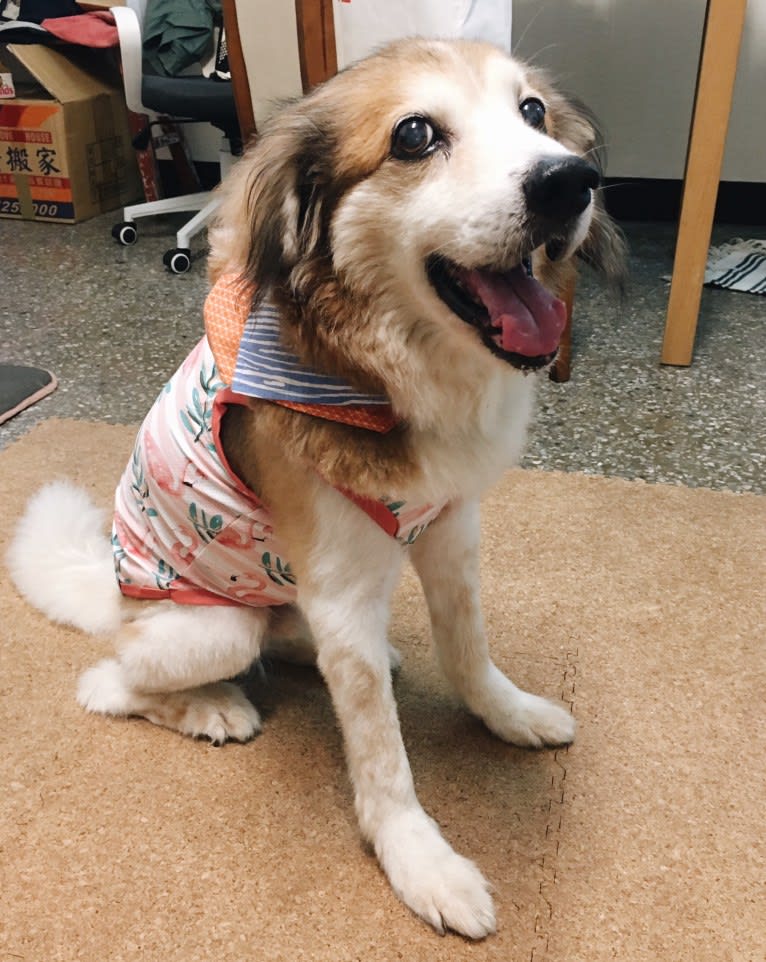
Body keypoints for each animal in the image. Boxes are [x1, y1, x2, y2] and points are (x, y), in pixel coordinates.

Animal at [9, 41, 628, 932]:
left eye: (533, 112)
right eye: (414, 134)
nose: (569, 181)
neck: (389, 375)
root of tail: (112, 591)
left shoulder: (452, 534)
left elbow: (469, 650)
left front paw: (507, 714)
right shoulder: (342, 591)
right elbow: (382, 755)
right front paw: (419, 862)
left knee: (291, 643)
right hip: (209, 630)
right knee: (112, 682)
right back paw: (212, 708)